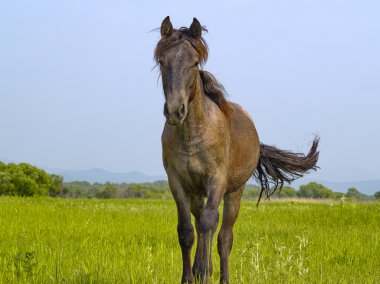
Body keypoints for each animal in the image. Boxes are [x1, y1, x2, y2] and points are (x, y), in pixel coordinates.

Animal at [155, 16, 320, 282]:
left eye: (195, 63)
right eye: (162, 61)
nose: (175, 111)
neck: (193, 134)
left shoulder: (217, 180)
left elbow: (210, 224)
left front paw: (203, 273)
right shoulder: (177, 181)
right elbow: (186, 231)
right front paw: (190, 277)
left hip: (234, 192)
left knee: (223, 236)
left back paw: (220, 275)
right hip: (197, 193)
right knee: (201, 224)